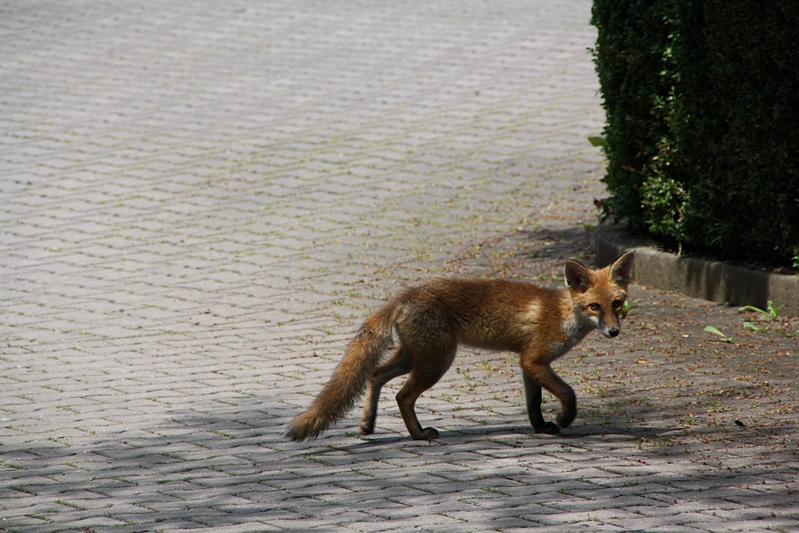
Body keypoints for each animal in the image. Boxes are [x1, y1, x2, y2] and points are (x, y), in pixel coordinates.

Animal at [286, 251, 634, 441]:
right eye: (594, 307)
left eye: (617, 304)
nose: (614, 332)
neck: (563, 314)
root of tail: (404, 296)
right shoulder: (534, 360)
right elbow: (568, 393)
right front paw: (563, 420)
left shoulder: (528, 363)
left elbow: (533, 404)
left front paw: (541, 428)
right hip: (437, 361)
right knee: (402, 396)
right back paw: (419, 435)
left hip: (414, 357)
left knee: (375, 374)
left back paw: (368, 423)